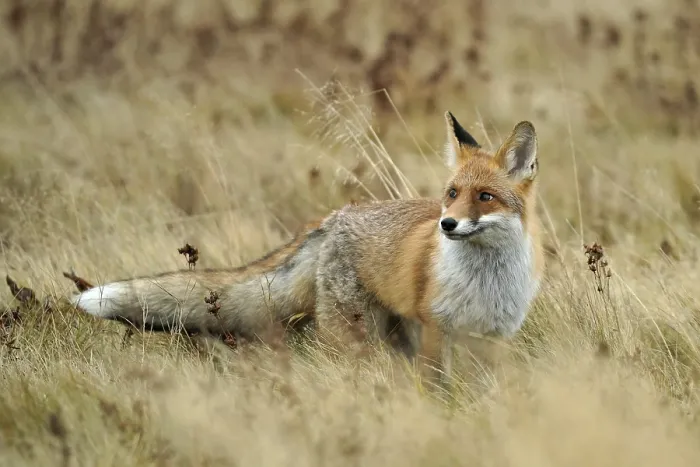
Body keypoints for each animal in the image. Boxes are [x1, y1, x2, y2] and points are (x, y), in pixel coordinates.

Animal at [71, 111, 545, 383]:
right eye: (451, 194)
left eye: (485, 196)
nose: (447, 224)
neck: (486, 283)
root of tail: (332, 220)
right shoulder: (436, 331)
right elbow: (437, 389)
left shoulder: (495, 338)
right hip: (355, 337)